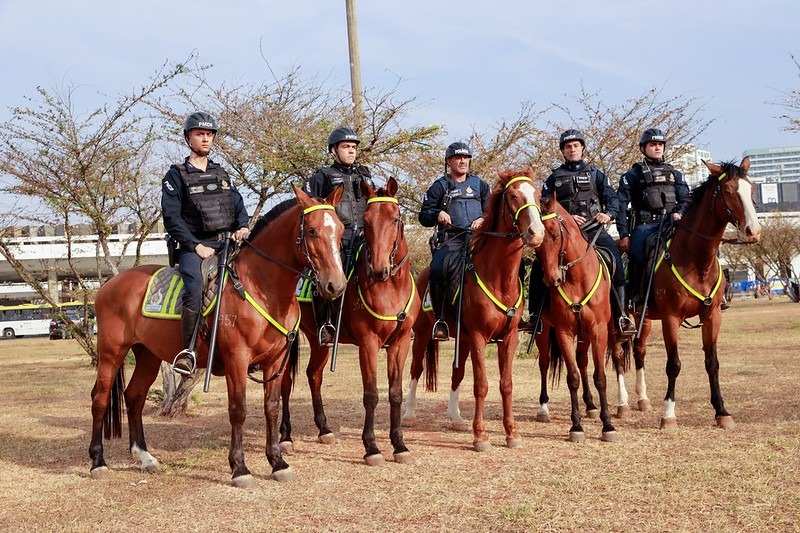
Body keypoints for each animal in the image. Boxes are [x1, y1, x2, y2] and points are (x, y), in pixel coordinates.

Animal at [90, 184, 346, 486]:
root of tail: (109, 284)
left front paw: (277, 462)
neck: (260, 287)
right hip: (111, 352)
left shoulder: (275, 361)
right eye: (313, 231)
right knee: (100, 398)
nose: (335, 284)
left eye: (341, 229)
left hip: (148, 356)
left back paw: (144, 457)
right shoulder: (237, 359)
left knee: (134, 397)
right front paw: (240, 468)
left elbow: (271, 406)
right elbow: (238, 410)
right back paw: (97, 462)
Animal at [278, 177, 422, 464]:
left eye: (395, 218)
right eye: (366, 220)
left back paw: (324, 429)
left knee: (314, 375)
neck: (390, 288)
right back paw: (286, 437)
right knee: (286, 383)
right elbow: (371, 395)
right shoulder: (368, 344)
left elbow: (395, 394)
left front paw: (399, 445)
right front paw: (372, 448)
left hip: (319, 342)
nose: (378, 270)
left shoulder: (401, 343)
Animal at [404, 169, 548, 448]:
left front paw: (511, 433)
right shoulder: (480, 337)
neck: (498, 278)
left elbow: (506, 384)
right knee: (416, 369)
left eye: (537, 195)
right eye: (513, 196)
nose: (536, 232)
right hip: (424, 334)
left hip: (463, 339)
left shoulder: (508, 337)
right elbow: (481, 385)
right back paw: (409, 414)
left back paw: (456, 418)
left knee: (456, 373)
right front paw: (480, 435)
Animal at [536, 193, 620, 442]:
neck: (576, 278)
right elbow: (572, 377)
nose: (551, 279)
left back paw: (591, 405)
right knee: (545, 363)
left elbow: (599, 376)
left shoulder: (598, 330)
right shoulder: (564, 332)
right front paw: (576, 426)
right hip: (544, 331)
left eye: (555, 234)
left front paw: (607, 425)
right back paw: (543, 408)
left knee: (584, 361)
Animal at [620, 158, 764, 428]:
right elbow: (673, 364)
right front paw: (668, 414)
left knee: (639, 350)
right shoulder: (671, 319)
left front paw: (722, 411)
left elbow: (712, 363)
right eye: (728, 191)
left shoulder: (712, 317)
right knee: (615, 355)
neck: (696, 261)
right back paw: (621, 403)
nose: (754, 231)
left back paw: (642, 399)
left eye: (751, 189)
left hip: (643, 320)